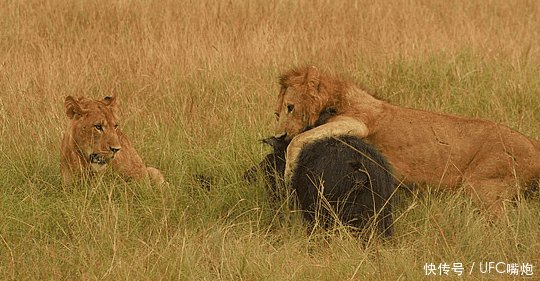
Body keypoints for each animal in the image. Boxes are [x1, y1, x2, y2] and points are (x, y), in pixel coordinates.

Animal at [274, 65, 540, 214]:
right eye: (277, 113)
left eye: (290, 107)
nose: (278, 135)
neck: (338, 99)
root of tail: (533, 144)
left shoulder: (359, 122)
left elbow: (300, 139)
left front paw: (288, 175)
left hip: (483, 187)